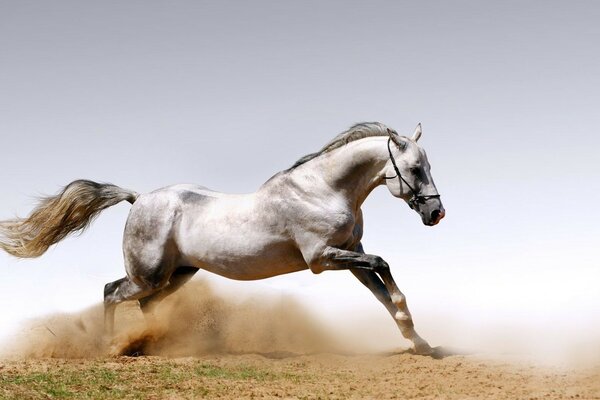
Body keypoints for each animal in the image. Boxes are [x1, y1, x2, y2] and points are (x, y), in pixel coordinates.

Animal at [1, 121, 446, 354]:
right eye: (414, 168)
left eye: (426, 166)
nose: (436, 213)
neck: (323, 189)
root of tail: (138, 198)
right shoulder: (322, 258)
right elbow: (384, 266)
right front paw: (416, 335)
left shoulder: (351, 252)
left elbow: (383, 292)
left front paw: (419, 342)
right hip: (149, 274)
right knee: (112, 292)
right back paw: (110, 345)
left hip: (178, 274)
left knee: (145, 305)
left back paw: (154, 344)